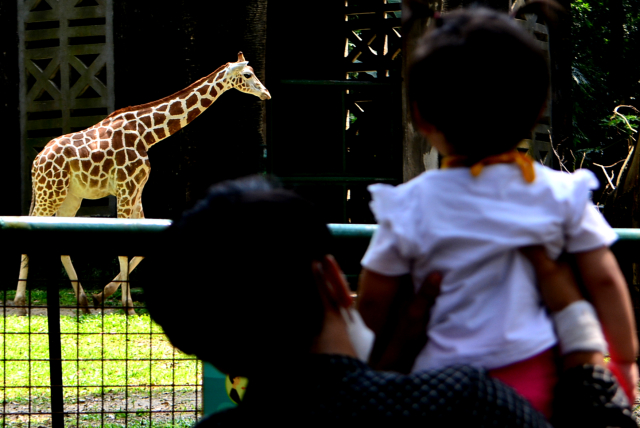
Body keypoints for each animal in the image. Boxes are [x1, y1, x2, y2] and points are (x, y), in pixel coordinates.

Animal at [15, 51, 270, 316]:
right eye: (247, 74)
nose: (266, 93)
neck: (147, 133)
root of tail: (36, 161)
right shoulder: (126, 187)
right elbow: (125, 246)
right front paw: (128, 307)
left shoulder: (136, 189)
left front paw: (102, 295)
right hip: (50, 192)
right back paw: (21, 304)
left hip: (70, 196)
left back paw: (83, 302)